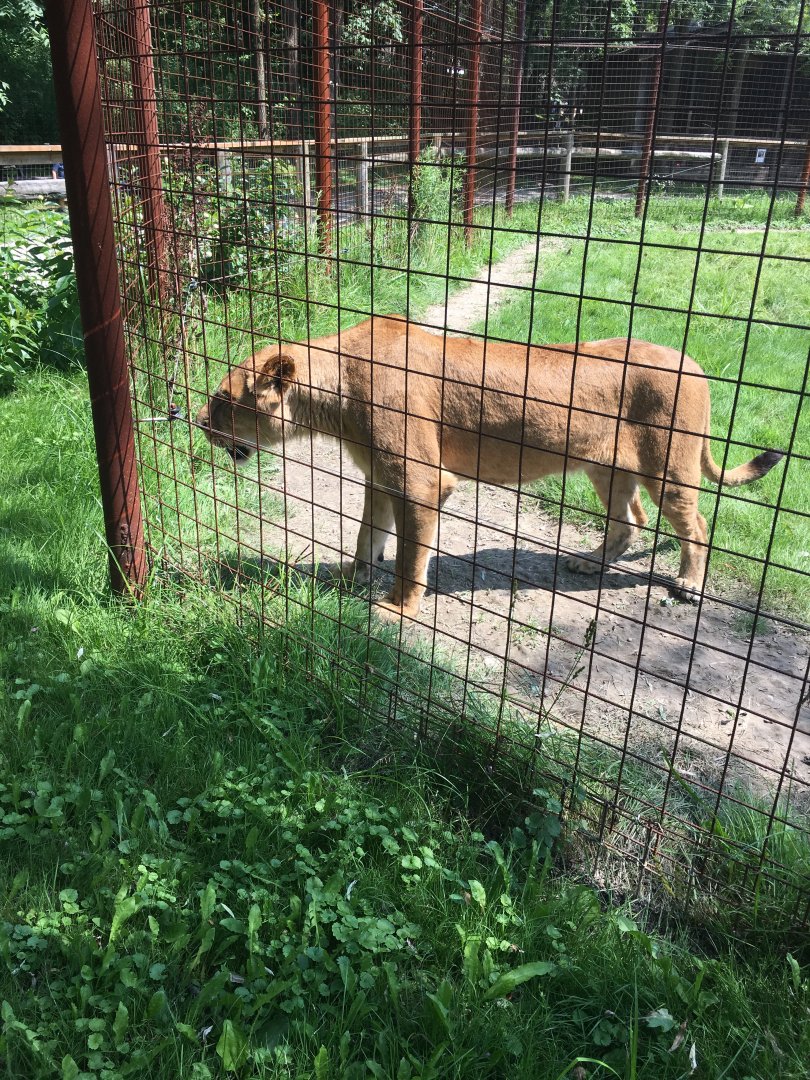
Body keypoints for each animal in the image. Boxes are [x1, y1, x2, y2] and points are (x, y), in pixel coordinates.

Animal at [197, 316, 782, 617]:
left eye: (222, 400)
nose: (197, 422)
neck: (331, 395)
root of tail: (694, 362)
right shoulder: (380, 477)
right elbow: (368, 534)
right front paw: (353, 574)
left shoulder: (423, 481)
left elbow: (408, 554)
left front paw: (397, 608)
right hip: (604, 467)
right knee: (628, 521)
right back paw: (588, 563)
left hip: (668, 468)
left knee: (696, 526)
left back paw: (687, 584)